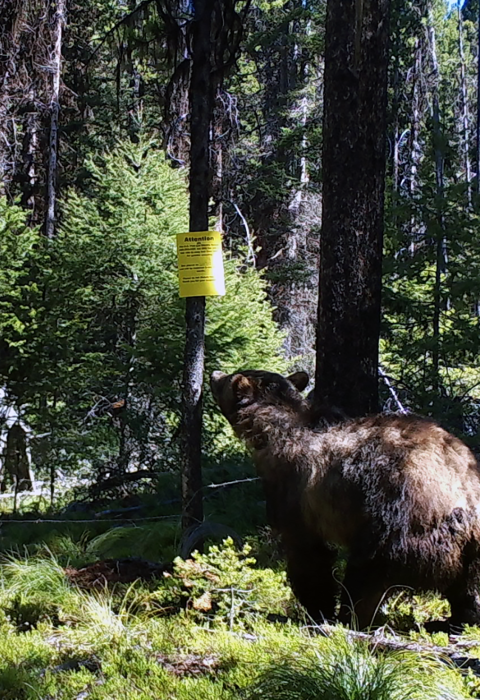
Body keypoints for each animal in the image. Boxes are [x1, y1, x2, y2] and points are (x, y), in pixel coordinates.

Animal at [210, 368, 480, 630]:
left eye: (227, 380)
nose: (213, 374)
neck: (274, 432)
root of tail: (461, 501)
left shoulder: (295, 492)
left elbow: (307, 553)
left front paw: (317, 608)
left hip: (399, 523)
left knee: (367, 574)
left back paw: (352, 616)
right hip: (472, 546)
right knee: (468, 586)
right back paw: (456, 620)